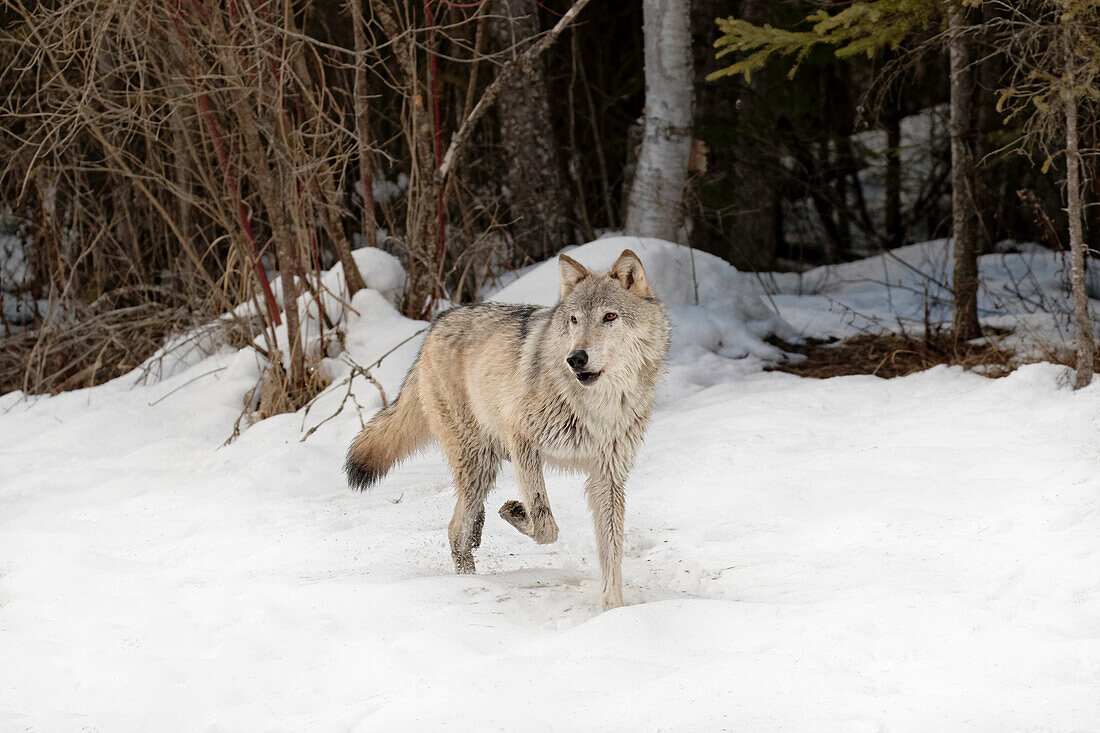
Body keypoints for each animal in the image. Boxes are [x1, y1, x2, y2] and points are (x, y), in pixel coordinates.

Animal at [345, 248, 668, 607]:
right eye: (574, 320)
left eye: (609, 317)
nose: (576, 358)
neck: (598, 404)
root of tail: (437, 324)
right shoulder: (522, 439)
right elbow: (545, 524)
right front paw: (515, 511)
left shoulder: (608, 475)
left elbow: (611, 552)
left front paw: (613, 609)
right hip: (479, 462)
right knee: (455, 528)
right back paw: (469, 578)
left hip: (488, 462)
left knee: (465, 523)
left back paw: (478, 537)